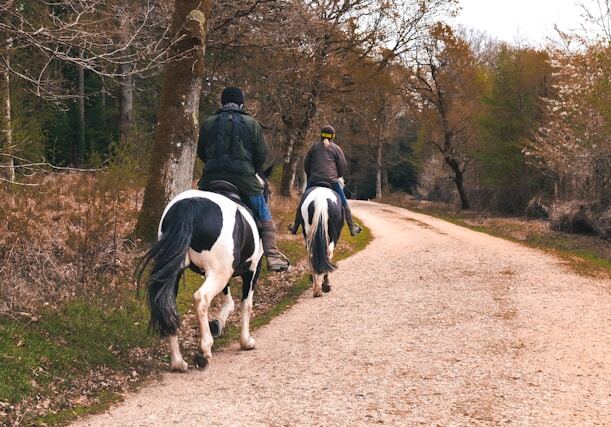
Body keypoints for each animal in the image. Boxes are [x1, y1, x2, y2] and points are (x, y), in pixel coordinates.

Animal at [137, 167, 274, 372]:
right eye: (268, 190)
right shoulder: (252, 271)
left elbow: (228, 302)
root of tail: (190, 207)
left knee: (167, 305)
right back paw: (204, 351)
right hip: (218, 273)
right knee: (201, 299)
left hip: (178, 272)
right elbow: (246, 304)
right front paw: (246, 341)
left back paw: (178, 362)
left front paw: (217, 325)